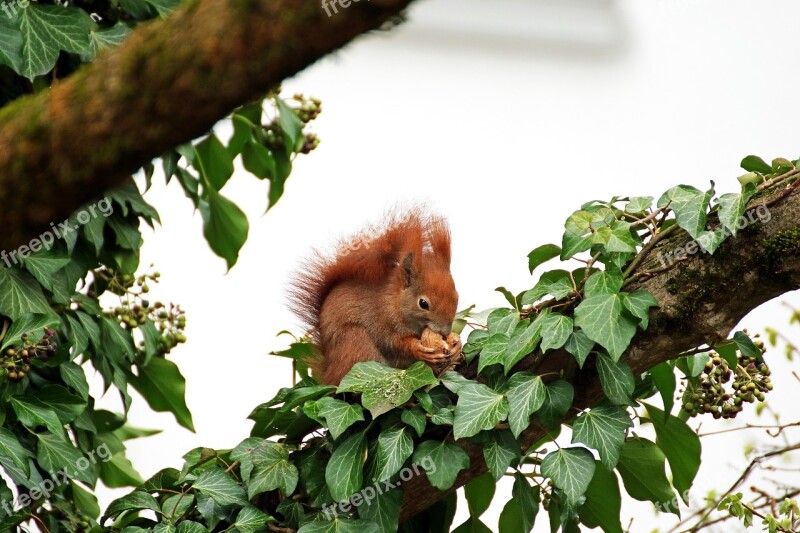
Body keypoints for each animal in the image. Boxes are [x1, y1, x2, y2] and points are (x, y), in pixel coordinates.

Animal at [290, 206, 462, 384]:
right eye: (423, 303)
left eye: (457, 296)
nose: (445, 332)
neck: (394, 301)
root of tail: (329, 373)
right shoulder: (383, 321)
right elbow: (394, 344)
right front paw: (418, 348)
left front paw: (457, 345)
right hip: (355, 343)